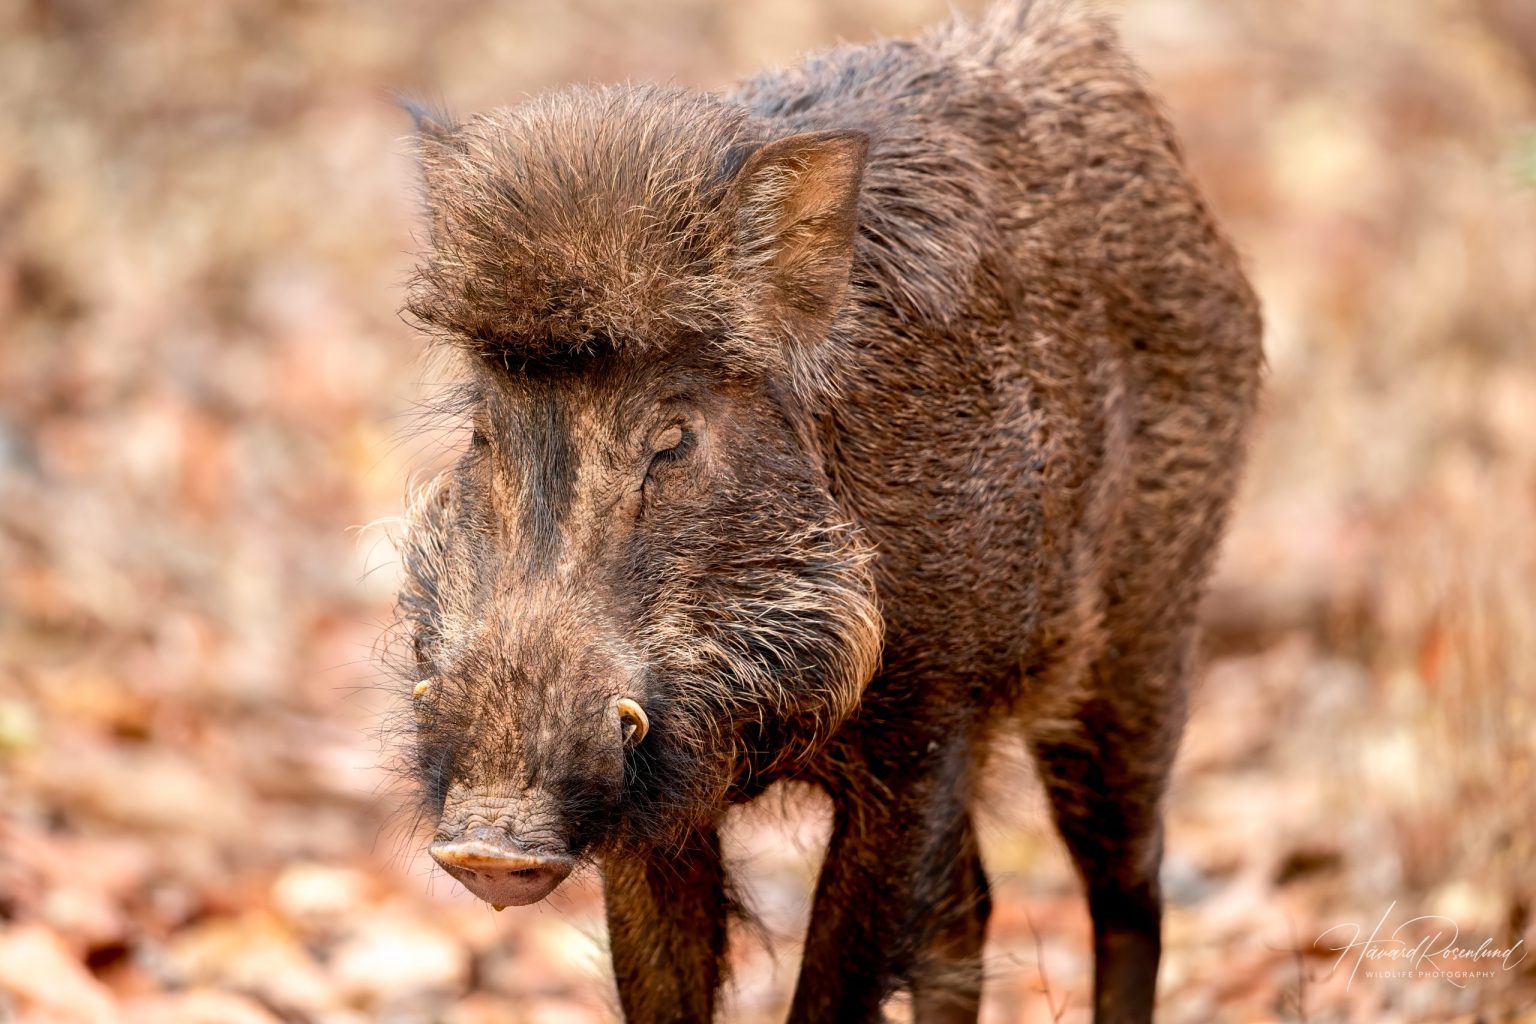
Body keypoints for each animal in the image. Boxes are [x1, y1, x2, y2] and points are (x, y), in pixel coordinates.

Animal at [389, 1, 1262, 1021]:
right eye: (485, 430)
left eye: (674, 438)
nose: (488, 845)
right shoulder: (655, 802)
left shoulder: (926, 730)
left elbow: (837, 984)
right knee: (970, 913)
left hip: (1140, 642)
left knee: (1128, 886)